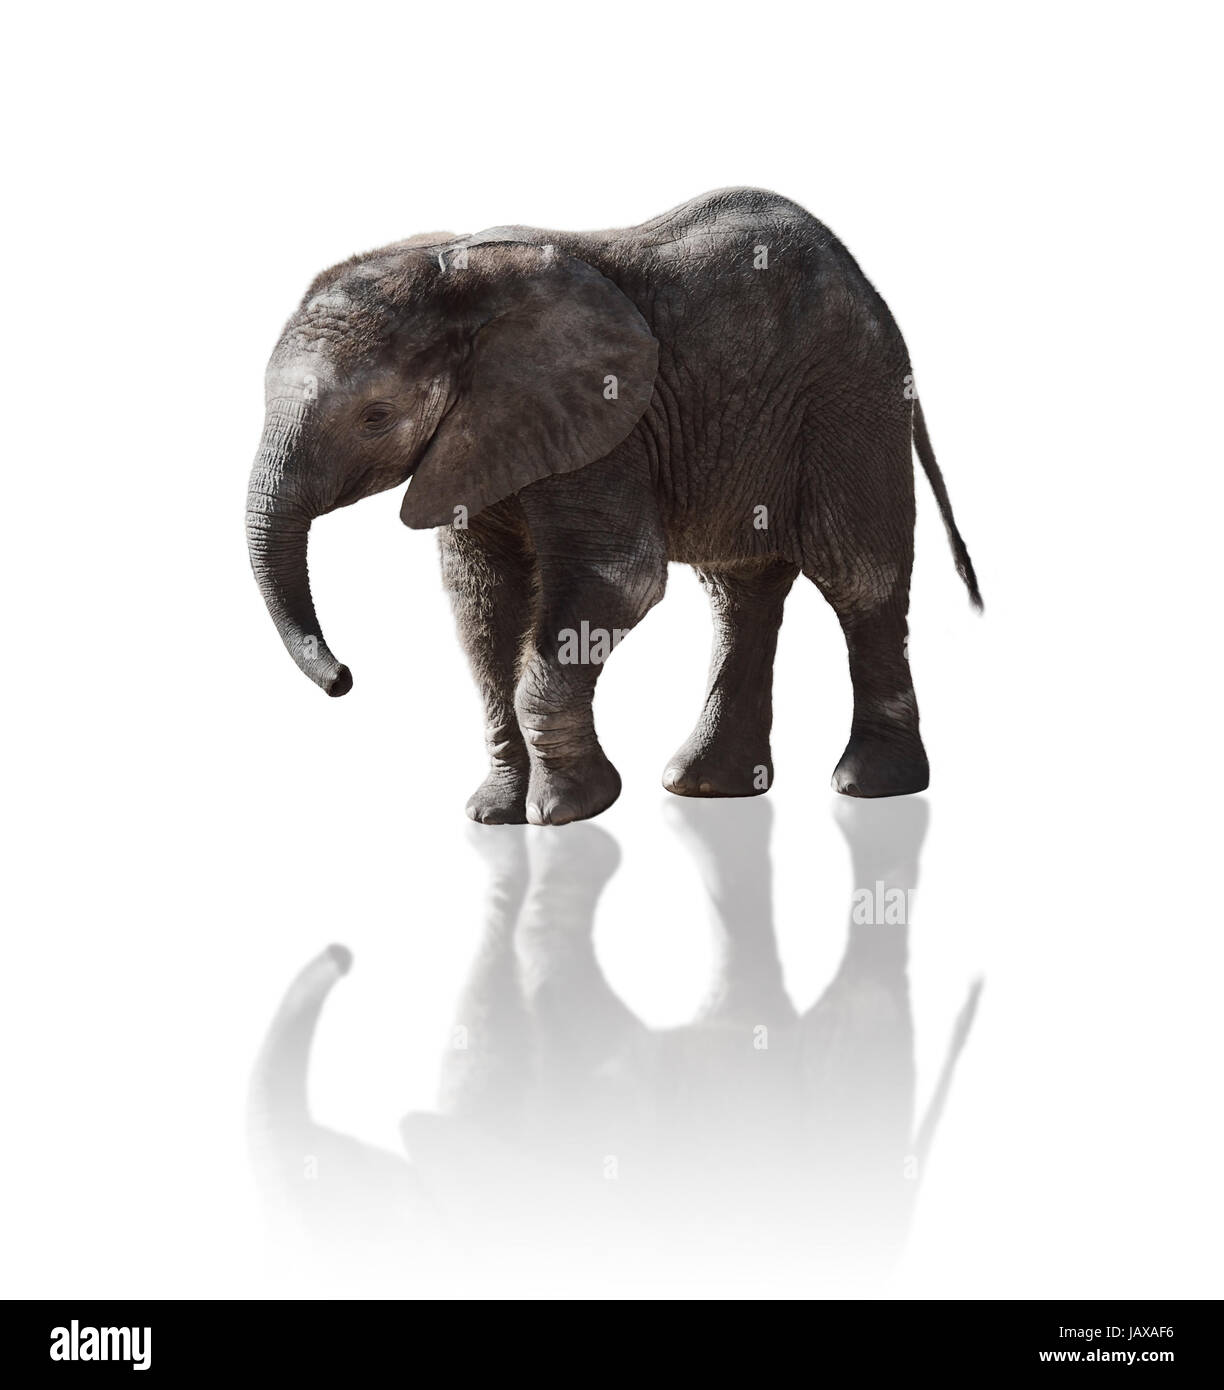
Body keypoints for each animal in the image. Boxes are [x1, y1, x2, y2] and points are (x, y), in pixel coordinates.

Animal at [246, 188, 982, 825]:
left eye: (375, 417)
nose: (344, 680)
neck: (458, 274)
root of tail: (869, 287)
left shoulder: (605, 425)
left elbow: (617, 579)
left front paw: (564, 811)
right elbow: (483, 601)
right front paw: (494, 815)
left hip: (850, 400)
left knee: (859, 576)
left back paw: (870, 787)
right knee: (740, 588)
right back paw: (707, 786)